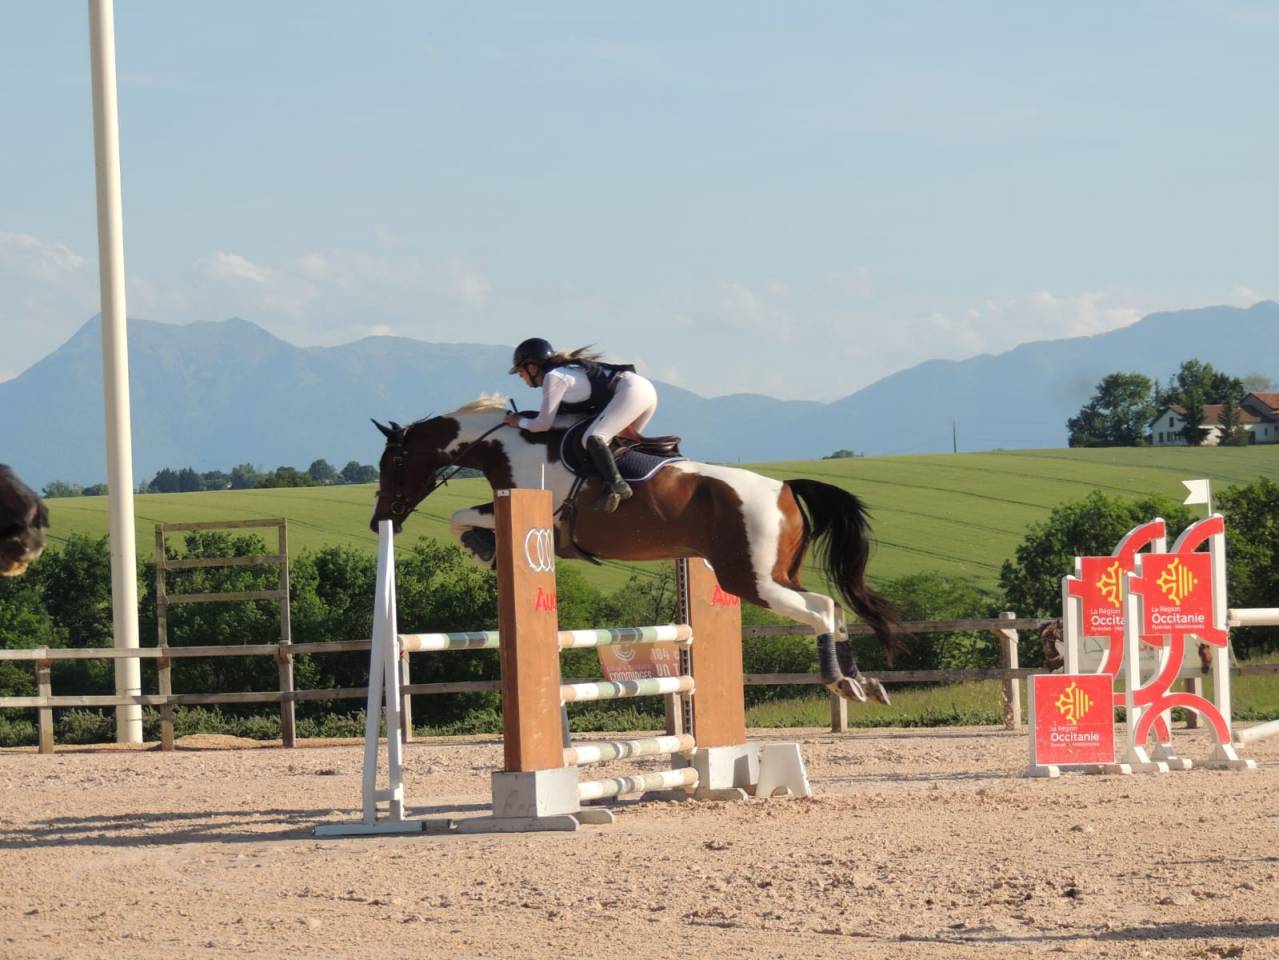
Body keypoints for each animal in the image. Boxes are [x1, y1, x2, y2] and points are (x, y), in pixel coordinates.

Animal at [369, 397, 903, 704]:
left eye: (393, 461)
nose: (379, 521)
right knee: (832, 607)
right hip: (774, 574)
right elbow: (463, 517)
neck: (505, 444)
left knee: (821, 609)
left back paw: (842, 682)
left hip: (749, 579)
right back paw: (863, 682)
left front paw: (482, 548)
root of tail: (786, 489)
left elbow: (462, 517)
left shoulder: (536, 511)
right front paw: (484, 547)